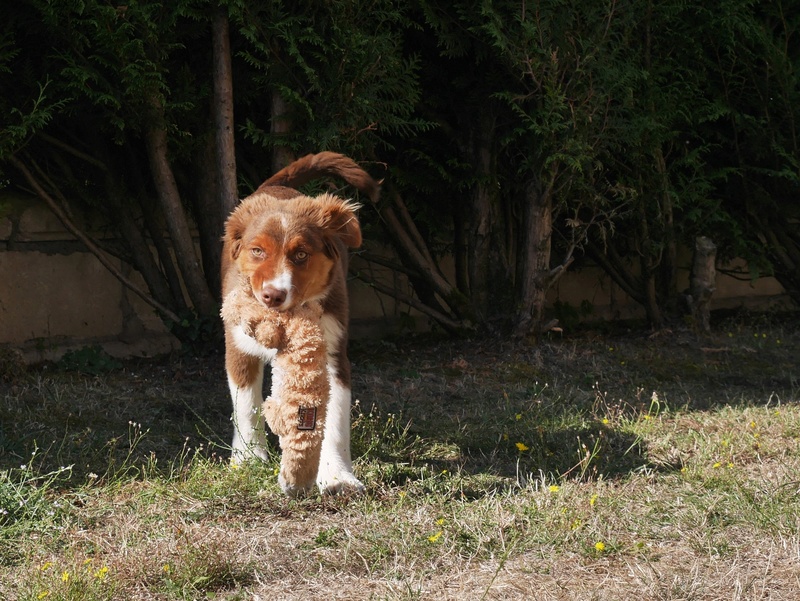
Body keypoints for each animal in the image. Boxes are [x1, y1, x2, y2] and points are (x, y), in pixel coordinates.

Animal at [220, 152, 380, 494]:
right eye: (257, 251)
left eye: (302, 255)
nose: (272, 296)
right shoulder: (239, 346)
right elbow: (246, 405)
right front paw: (248, 459)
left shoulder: (333, 350)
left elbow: (335, 419)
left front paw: (337, 476)